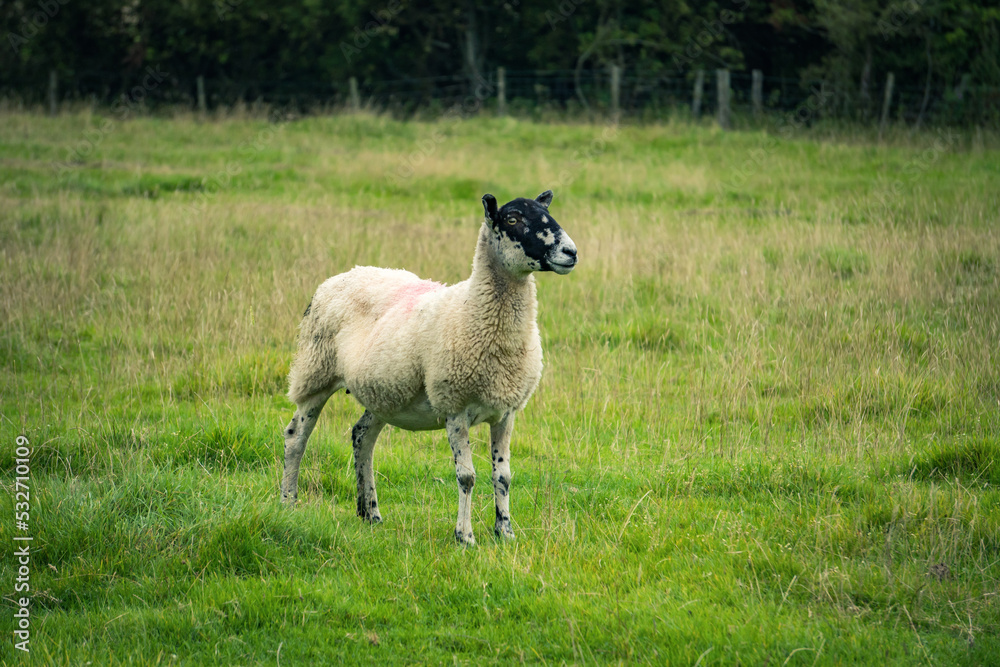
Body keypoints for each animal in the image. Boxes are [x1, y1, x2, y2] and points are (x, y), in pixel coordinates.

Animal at [281, 190, 577, 545]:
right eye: (513, 219)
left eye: (548, 213)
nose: (571, 252)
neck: (474, 310)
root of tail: (341, 275)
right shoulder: (454, 407)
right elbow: (466, 477)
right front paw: (465, 536)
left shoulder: (506, 411)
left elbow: (503, 476)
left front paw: (505, 531)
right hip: (316, 372)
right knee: (296, 437)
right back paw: (288, 502)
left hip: (383, 393)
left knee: (361, 436)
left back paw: (370, 513)